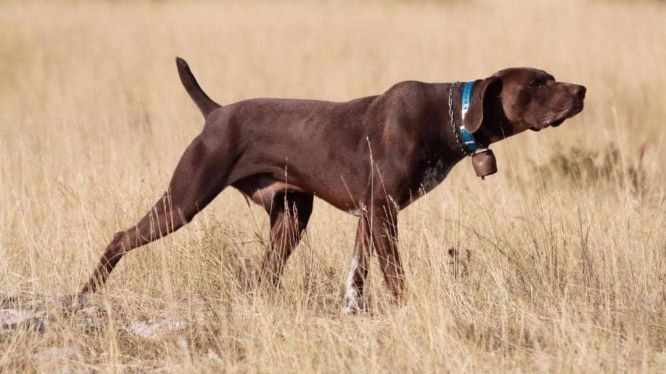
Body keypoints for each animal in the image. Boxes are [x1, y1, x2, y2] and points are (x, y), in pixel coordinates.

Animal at [78, 57, 584, 312]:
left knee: (265, 276)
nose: (581, 91)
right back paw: (86, 293)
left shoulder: (369, 214)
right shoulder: (382, 210)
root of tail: (216, 113)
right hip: (184, 200)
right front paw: (404, 310)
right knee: (119, 237)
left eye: (552, 77)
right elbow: (395, 276)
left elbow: (356, 275)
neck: (448, 117)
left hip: (291, 219)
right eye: (539, 82)